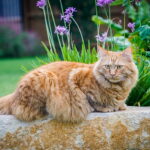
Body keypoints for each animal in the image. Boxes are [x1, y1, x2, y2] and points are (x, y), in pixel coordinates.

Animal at [0, 46, 138, 122]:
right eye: (107, 66)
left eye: (119, 67)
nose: (113, 74)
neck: (117, 88)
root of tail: (13, 94)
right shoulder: (76, 78)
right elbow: (91, 101)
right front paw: (106, 107)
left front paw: (120, 105)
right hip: (47, 78)